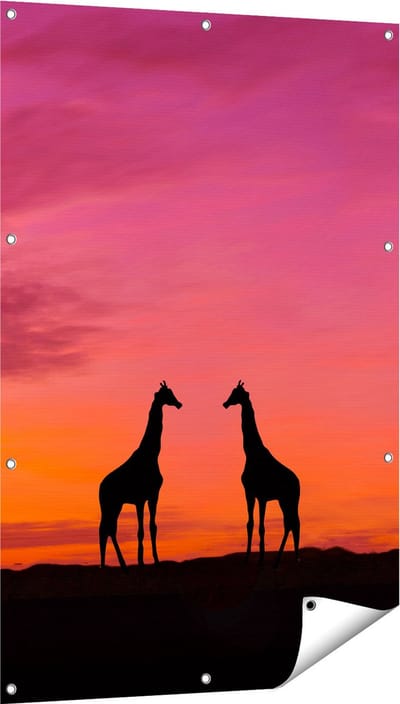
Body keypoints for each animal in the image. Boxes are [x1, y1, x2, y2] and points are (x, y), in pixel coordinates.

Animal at [99, 381, 182, 569]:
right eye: (167, 394)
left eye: (172, 392)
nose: (179, 403)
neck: (152, 454)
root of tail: (100, 488)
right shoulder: (139, 499)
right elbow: (140, 531)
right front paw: (141, 561)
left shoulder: (153, 495)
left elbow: (153, 527)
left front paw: (156, 560)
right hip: (110, 504)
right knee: (107, 529)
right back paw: (118, 565)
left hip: (115, 505)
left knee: (107, 529)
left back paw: (112, 565)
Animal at [223, 381, 300, 567]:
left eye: (236, 393)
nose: (225, 403)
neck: (250, 452)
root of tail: (298, 482)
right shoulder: (249, 492)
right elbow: (250, 524)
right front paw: (247, 557)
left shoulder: (262, 496)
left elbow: (262, 527)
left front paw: (261, 558)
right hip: (283, 500)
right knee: (290, 523)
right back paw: (281, 560)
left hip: (290, 499)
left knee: (292, 523)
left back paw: (287, 560)